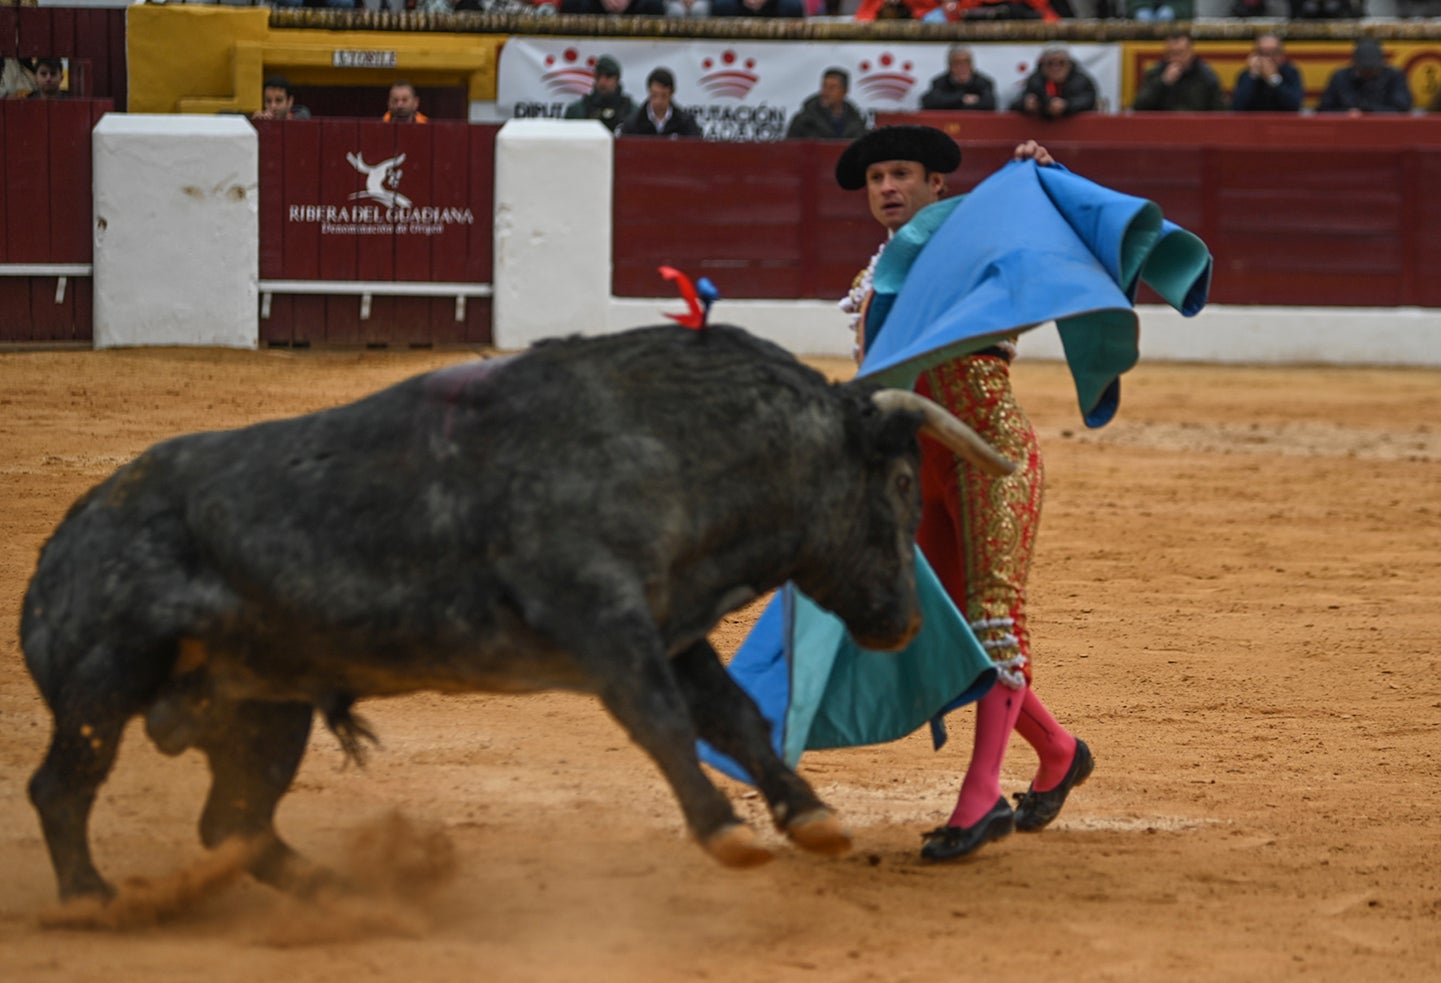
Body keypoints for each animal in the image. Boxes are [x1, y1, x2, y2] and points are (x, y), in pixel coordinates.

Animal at [22, 321, 1014, 893]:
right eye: (898, 481)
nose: (904, 622)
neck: (674, 440)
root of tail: (63, 543)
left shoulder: (671, 630)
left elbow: (734, 718)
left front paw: (810, 816)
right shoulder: (603, 622)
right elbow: (663, 720)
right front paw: (726, 832)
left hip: (268, 704)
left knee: (235, 820)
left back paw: (352, 897)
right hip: (105, 680)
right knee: (62, 785)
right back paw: (94, 901)